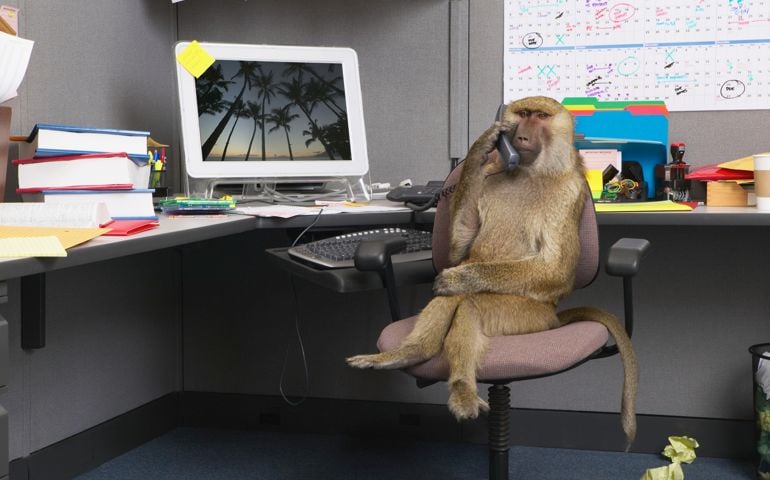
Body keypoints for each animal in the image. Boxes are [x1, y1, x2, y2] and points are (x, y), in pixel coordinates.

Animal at [347, 96, 638, 448]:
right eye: (522, 114)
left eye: (540, 116)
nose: (521, 136)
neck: (530, 172)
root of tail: (554, 319)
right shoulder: (486, 179)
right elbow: (458, 254)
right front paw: (480, 147)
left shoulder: (570, 193)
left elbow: (554, 269)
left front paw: (459, 278)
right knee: (450, 300)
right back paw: (411, 353)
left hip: (528, 318)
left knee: (468, 304)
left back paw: (461, 386)